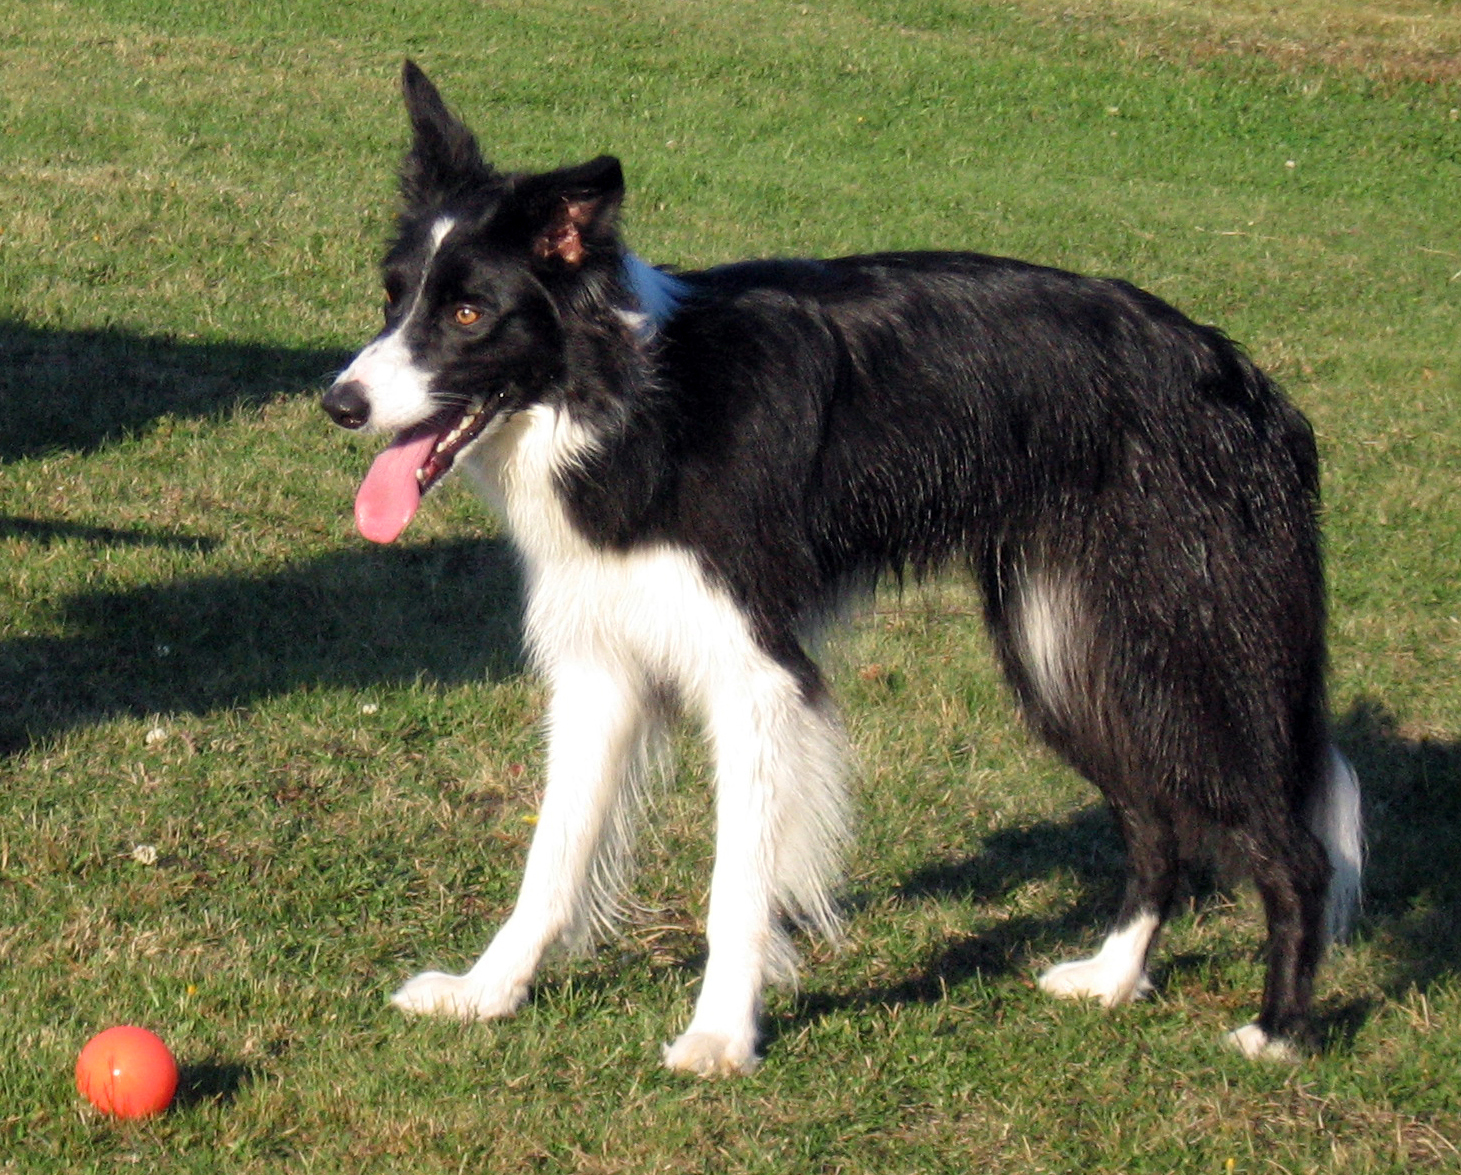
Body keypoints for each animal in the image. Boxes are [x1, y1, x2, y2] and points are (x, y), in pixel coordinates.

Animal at [319, 62, 1355, 1075]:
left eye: (468, 313)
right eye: (392, 296)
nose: (339, 402)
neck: (633, 405)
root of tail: (1241, 376)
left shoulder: (756, 675)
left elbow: (735, 886)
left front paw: (720, 1038)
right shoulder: (601, 666)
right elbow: (553, 855)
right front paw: (487, 993)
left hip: (1185, 652)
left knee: (1292, 844)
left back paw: (1277, 1031)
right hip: (1067, 654)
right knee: (1154, 821)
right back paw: (1111, 976)